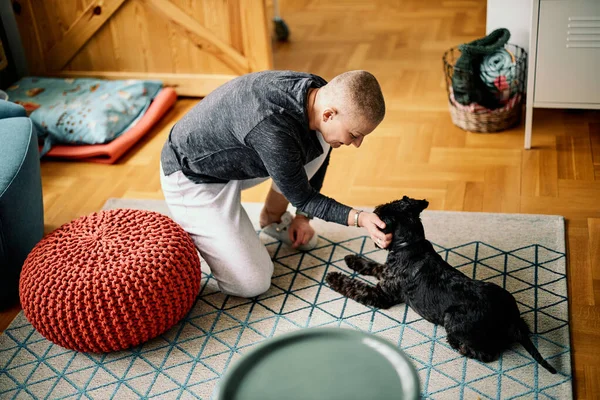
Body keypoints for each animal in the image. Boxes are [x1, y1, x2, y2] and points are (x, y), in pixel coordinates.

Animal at [328, 195, 556, 374]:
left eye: (379, 214)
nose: (372, 214)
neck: (410, 243)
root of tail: (510, 320)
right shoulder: (385, 274)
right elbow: (373, 265)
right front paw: (352, 260)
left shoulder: (382, 295)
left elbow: (355, 286)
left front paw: (333, 277)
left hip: (451, 318)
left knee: (488, 353)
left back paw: (458, 345)